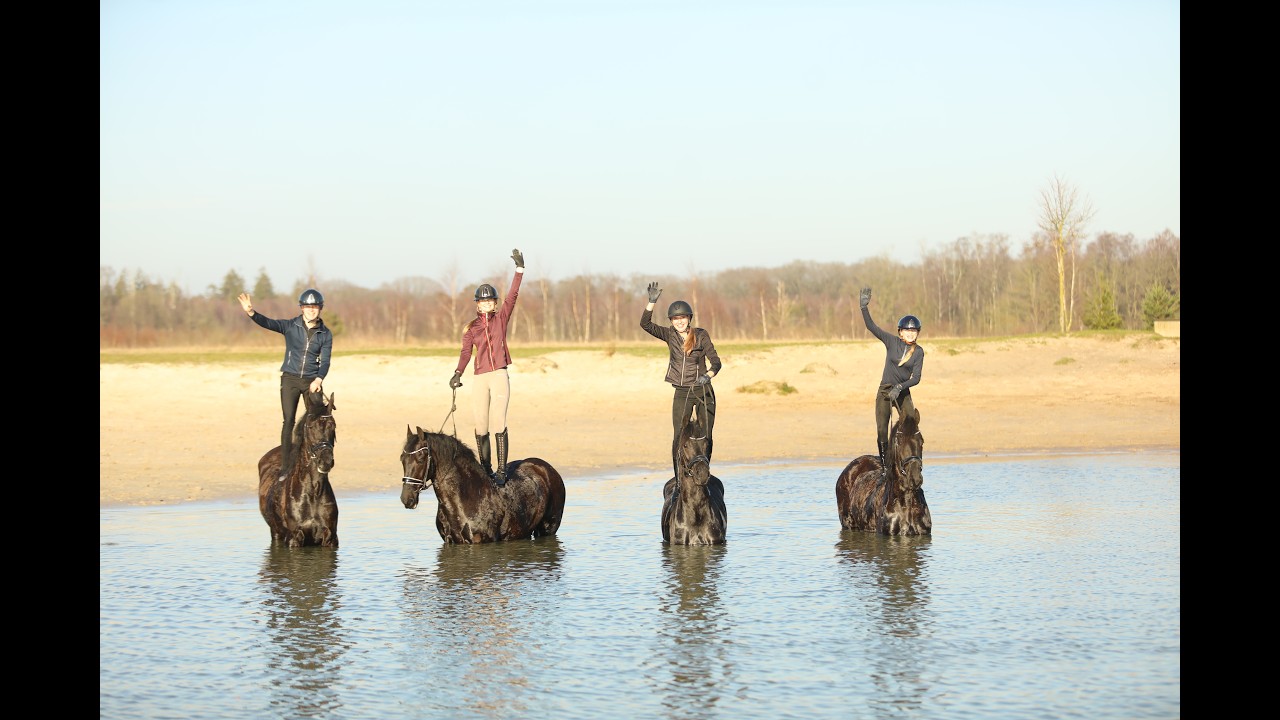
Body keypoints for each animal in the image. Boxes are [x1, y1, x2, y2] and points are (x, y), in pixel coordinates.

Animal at [258, 391, 339, 547]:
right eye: (310, 427)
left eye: (333, 426)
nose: (325, 461)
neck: (314, 492)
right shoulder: (294, 537)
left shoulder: (330, 538)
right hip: (276, 532)